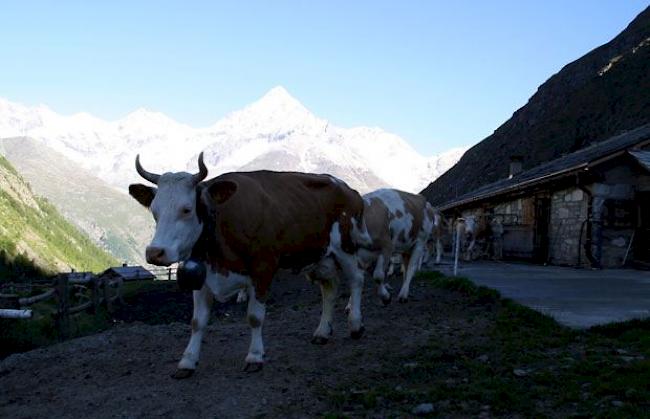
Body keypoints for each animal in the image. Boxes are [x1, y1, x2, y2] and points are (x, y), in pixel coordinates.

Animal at [128, 153, 370, 378]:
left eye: (186, 209)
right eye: (154, 211)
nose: (154, 252)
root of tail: (348, 189)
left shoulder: (263, 269)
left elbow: (254, 317)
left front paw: (254, 357)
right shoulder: (202, 276)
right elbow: (197, 321)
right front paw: (187, 362)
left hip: (346, 247)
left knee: (357, 279)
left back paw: (355, 324)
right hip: (320, 257)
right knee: (330, 289)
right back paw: (322, 332)